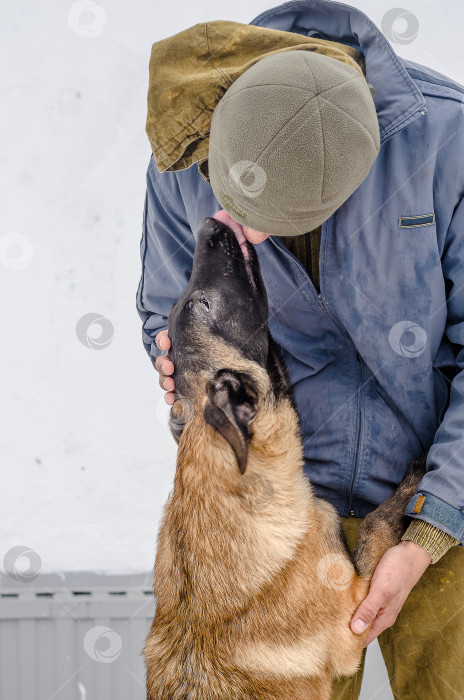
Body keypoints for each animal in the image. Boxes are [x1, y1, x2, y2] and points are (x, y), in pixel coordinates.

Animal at [143, 216, 426, 696]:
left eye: (188, 301)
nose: (208, 223)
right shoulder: (356, 614)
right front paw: (413, 481)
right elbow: (375, 524)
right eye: (204, 303)